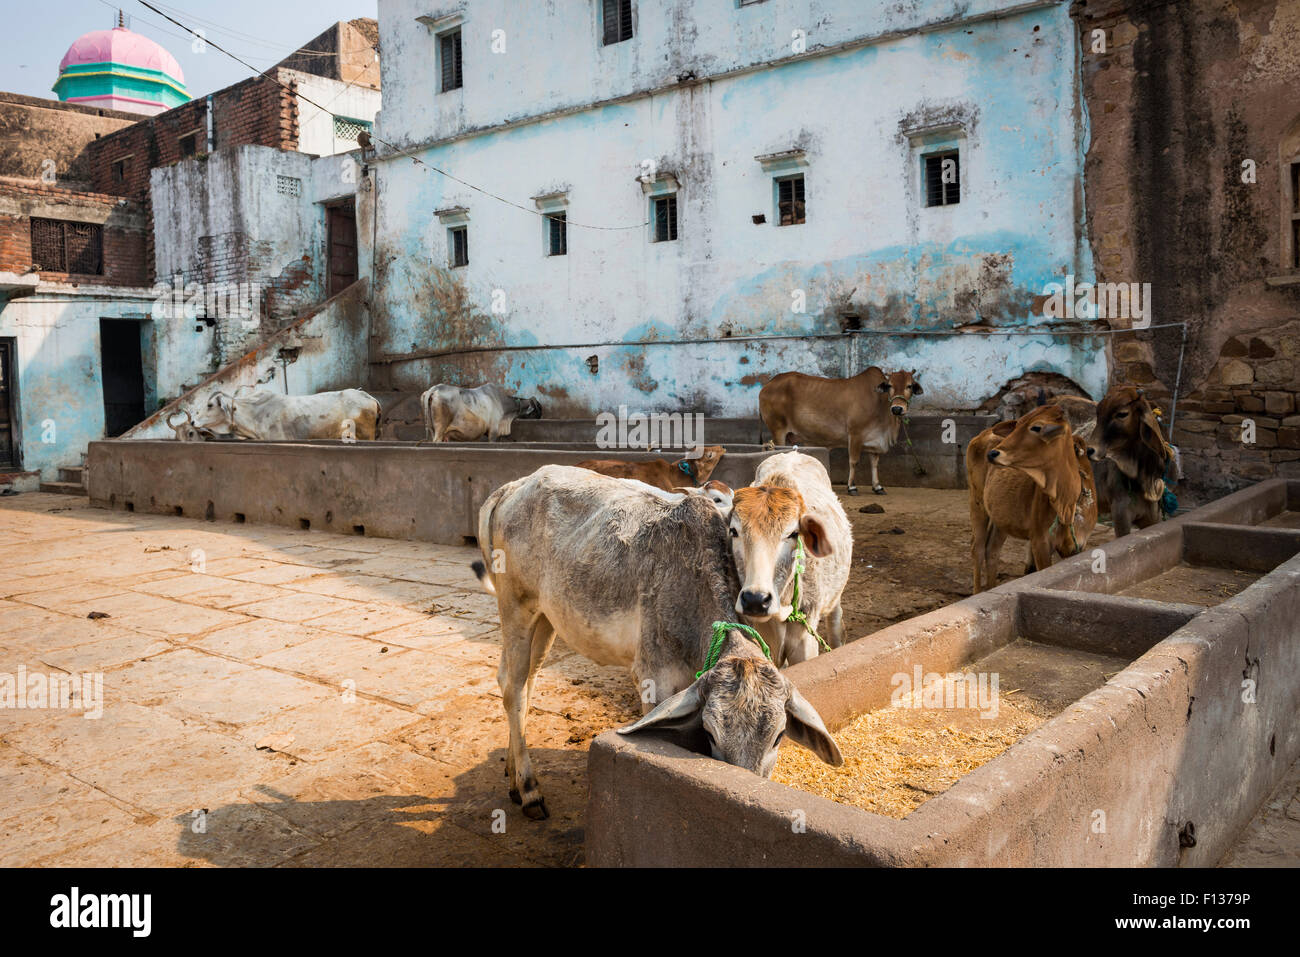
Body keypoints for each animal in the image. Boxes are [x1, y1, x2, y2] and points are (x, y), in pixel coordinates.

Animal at [470, 465, 842, 821]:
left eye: (779, 736)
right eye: (710, 733)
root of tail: (514, 486)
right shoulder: (654, 678)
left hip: (546, 618)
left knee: (526, 682)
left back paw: (513, 774)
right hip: (515, 606)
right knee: (513, 686)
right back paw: (529, 789)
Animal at [759, 369, 930, 494]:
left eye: (909, 385)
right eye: (890, 386)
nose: (897, 408)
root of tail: (768, 385)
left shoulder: (875, 441)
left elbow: (874, 463)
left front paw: (877, 486)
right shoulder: (855, 434)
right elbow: (854, 461)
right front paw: (851, 487)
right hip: (778, 430)